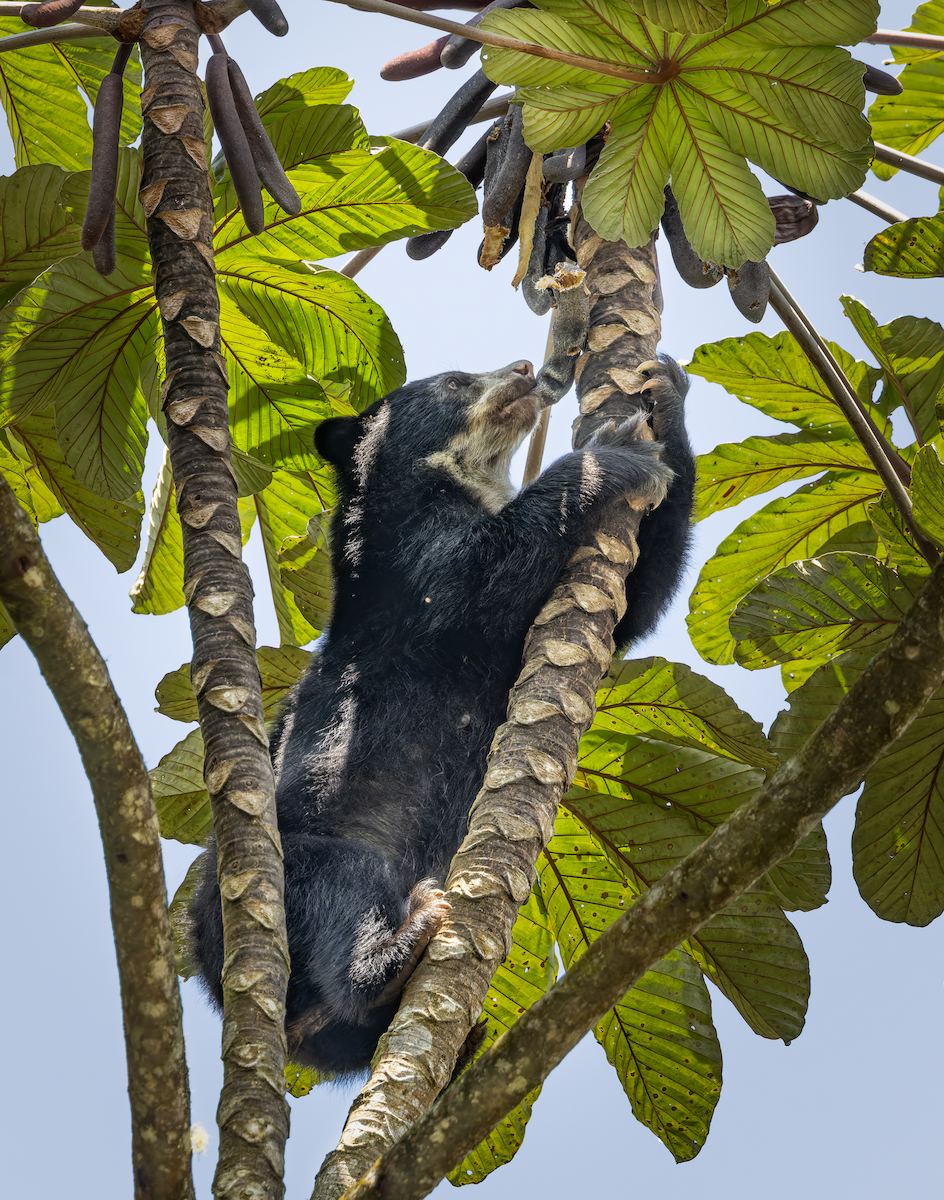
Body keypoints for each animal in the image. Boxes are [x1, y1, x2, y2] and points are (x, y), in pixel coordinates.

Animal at [188, 355, 695, 1076]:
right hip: (295, 870)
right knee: (345, 887)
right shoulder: (411, 562)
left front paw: (664, 396)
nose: (526, 367)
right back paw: (397, 956)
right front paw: (615, 453)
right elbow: (478, 576)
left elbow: (635, 602)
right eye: (455, 381)